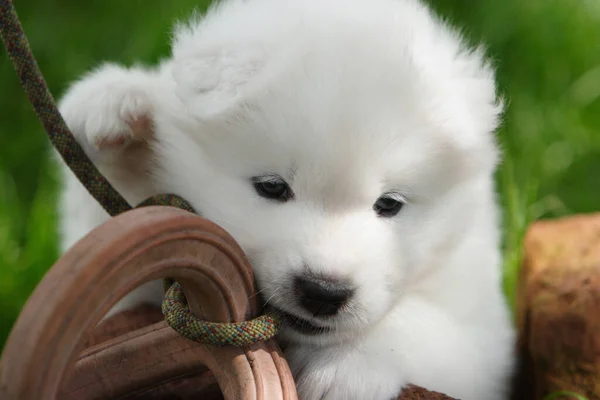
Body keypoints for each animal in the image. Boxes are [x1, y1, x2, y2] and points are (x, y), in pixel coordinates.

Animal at [57, 0, 516, 398]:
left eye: (389, 204)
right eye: (272, 186)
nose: (324, 292)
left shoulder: (483, 329)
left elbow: (426, 328)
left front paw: (344, 369)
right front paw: (116, 105)